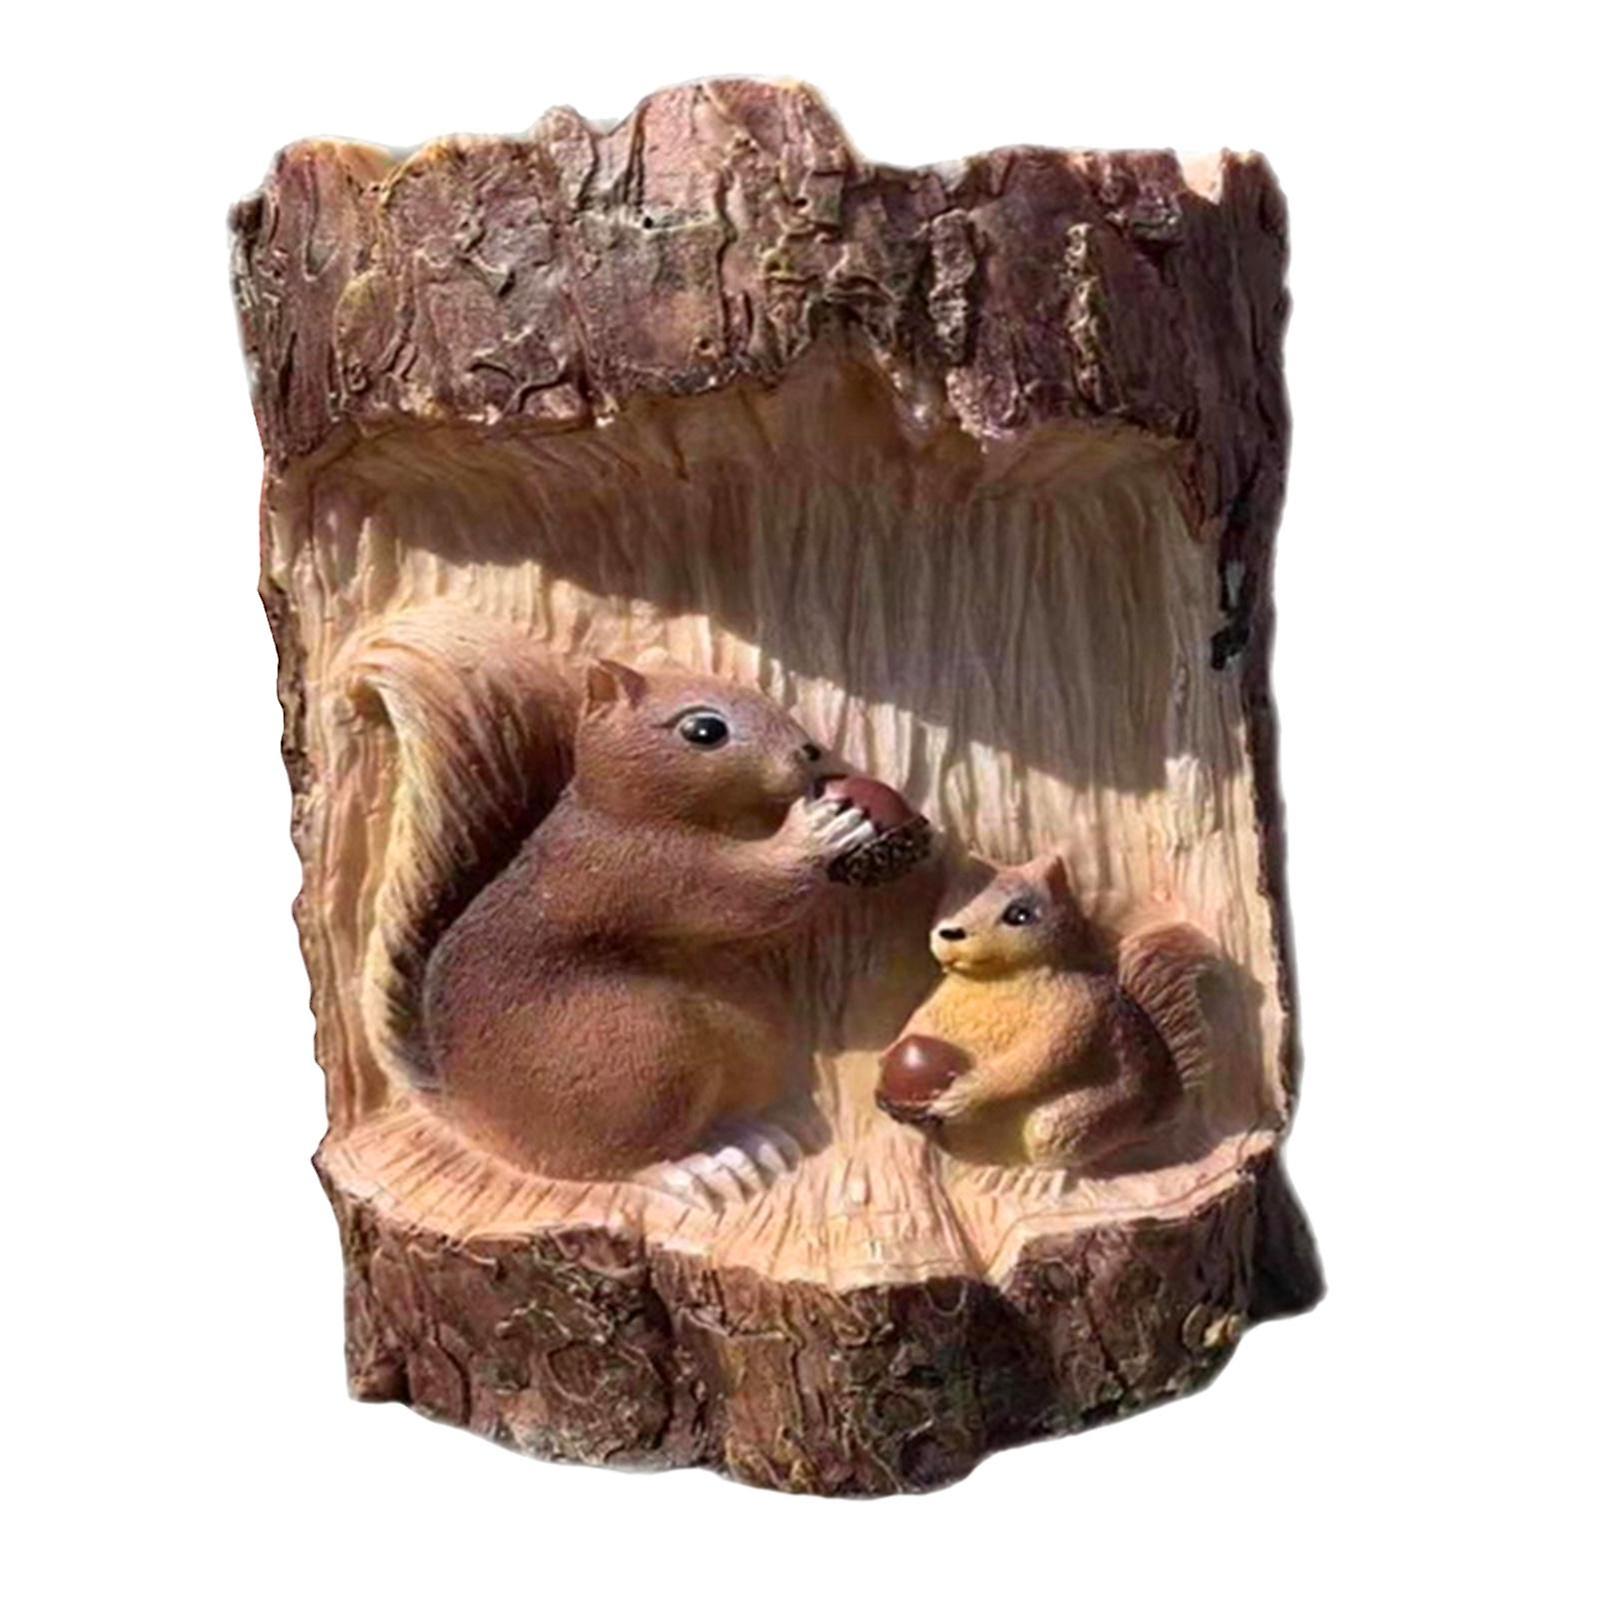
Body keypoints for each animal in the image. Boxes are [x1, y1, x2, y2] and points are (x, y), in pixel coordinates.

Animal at [343, 607, 908, 1191]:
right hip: (645, 1056)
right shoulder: (640, 870)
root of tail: (485, 1125)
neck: (620, 807)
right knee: (620, 1163)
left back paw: (758, 1136)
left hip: (752, 1036)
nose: (810, 752)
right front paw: (821, 827)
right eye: (704, 730)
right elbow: (749, 894)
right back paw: (697, 1169)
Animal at [875, 852, 1215, 1169]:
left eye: (1020, 915)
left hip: (1070, 1122)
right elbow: (917, 1022)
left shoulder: (1076, 1009)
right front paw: (885, 1067)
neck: (992, 978)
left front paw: (965, 1093)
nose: (951, 933)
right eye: (953, 900)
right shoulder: (937, 1000)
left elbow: (1038, 1060)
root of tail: (1144, 1122)